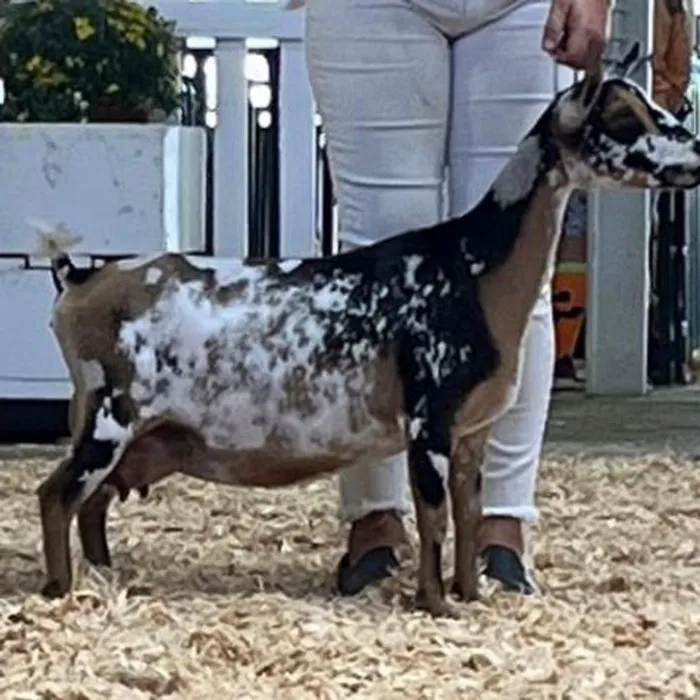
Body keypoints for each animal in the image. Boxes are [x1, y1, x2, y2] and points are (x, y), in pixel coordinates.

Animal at [34, 48, 700, 617]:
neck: (473, 267)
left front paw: (471, 595)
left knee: (92, 502)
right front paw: (436, 605)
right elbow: (433, 515)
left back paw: (104, 577)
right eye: (623, 118)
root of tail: (80, 278)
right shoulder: (429, 420)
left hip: (133, 435)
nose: (694, 155)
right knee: (57, 494)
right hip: (110, 414)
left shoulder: (470, 432)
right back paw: (62, 591)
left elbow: (469, 510)